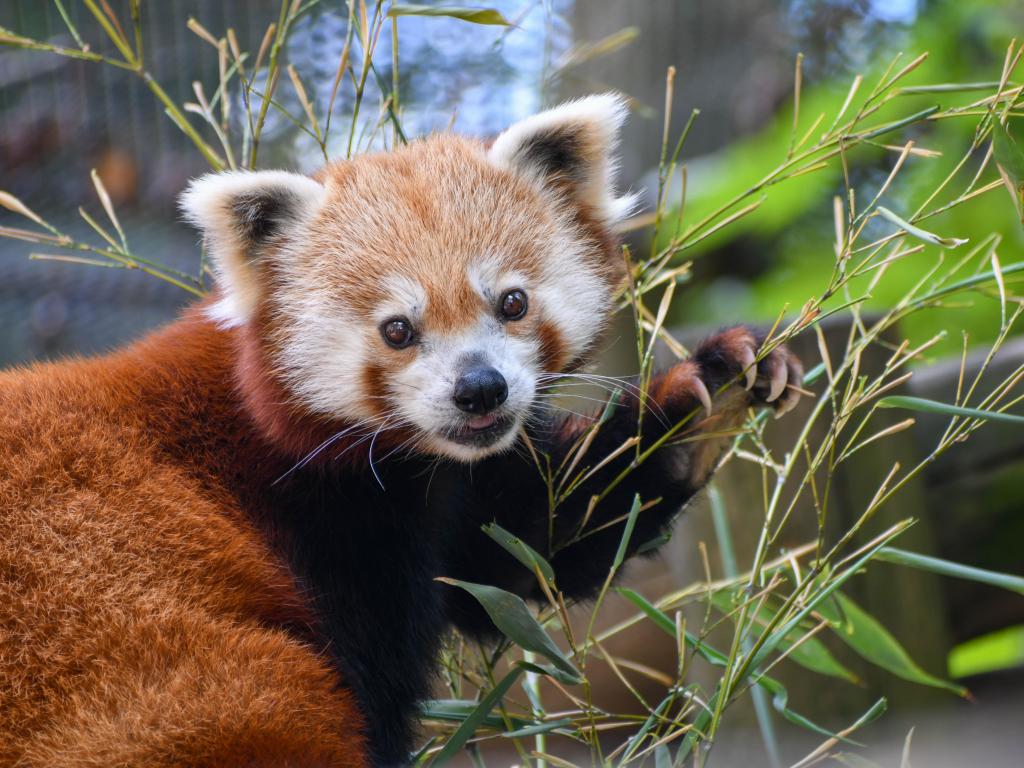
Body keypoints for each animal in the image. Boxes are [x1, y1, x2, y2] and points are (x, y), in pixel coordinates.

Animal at [0, 97, 798, 768]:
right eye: (397, 329)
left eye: (512, 302)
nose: (480, 389)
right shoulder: (327, 528)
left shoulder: (447, 499)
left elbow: (533, 546)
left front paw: (703, 401)